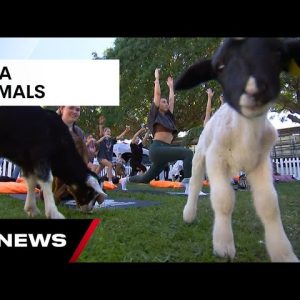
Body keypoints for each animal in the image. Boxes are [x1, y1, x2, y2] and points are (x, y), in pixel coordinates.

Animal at [175, 38, 300, 262]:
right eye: (220, 66)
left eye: (279, 53)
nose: (254, 89)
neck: (246, 135)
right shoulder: (215, 157)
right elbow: (223, 198)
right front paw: (223, 245)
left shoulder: (261, 162)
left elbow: (269, 204)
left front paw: (283, 253)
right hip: (201, 155)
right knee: (195, 183)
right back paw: (189, 214)